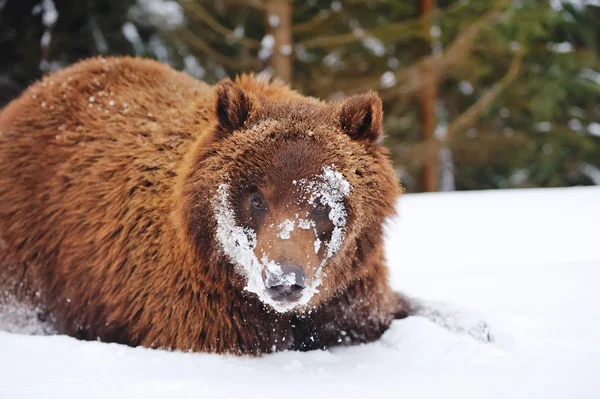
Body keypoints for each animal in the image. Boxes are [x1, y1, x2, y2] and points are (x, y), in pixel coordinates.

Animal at [0, 57, 488, 356]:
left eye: (324, 202)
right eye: (256, 196)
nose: (285, 280)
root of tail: (30, 95)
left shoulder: (352, 288)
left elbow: (389, 311)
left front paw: (477, 326)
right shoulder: (201, 308)